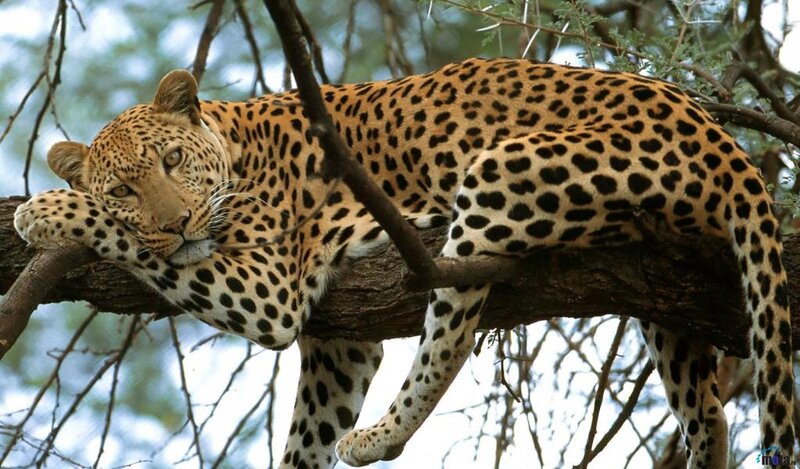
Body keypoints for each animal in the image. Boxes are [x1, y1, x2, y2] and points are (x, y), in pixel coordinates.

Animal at [14, 57, 795, 468]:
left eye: (173, 161)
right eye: (124, 187)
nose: (175, 225)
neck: (236, 145)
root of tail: (719, 136)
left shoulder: (269, 288)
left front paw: (44, 210)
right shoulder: (340, 344)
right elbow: (306, 435)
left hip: (500, 173)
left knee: (448, 337)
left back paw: (381, 436)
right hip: (665, 294)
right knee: (708, 412)